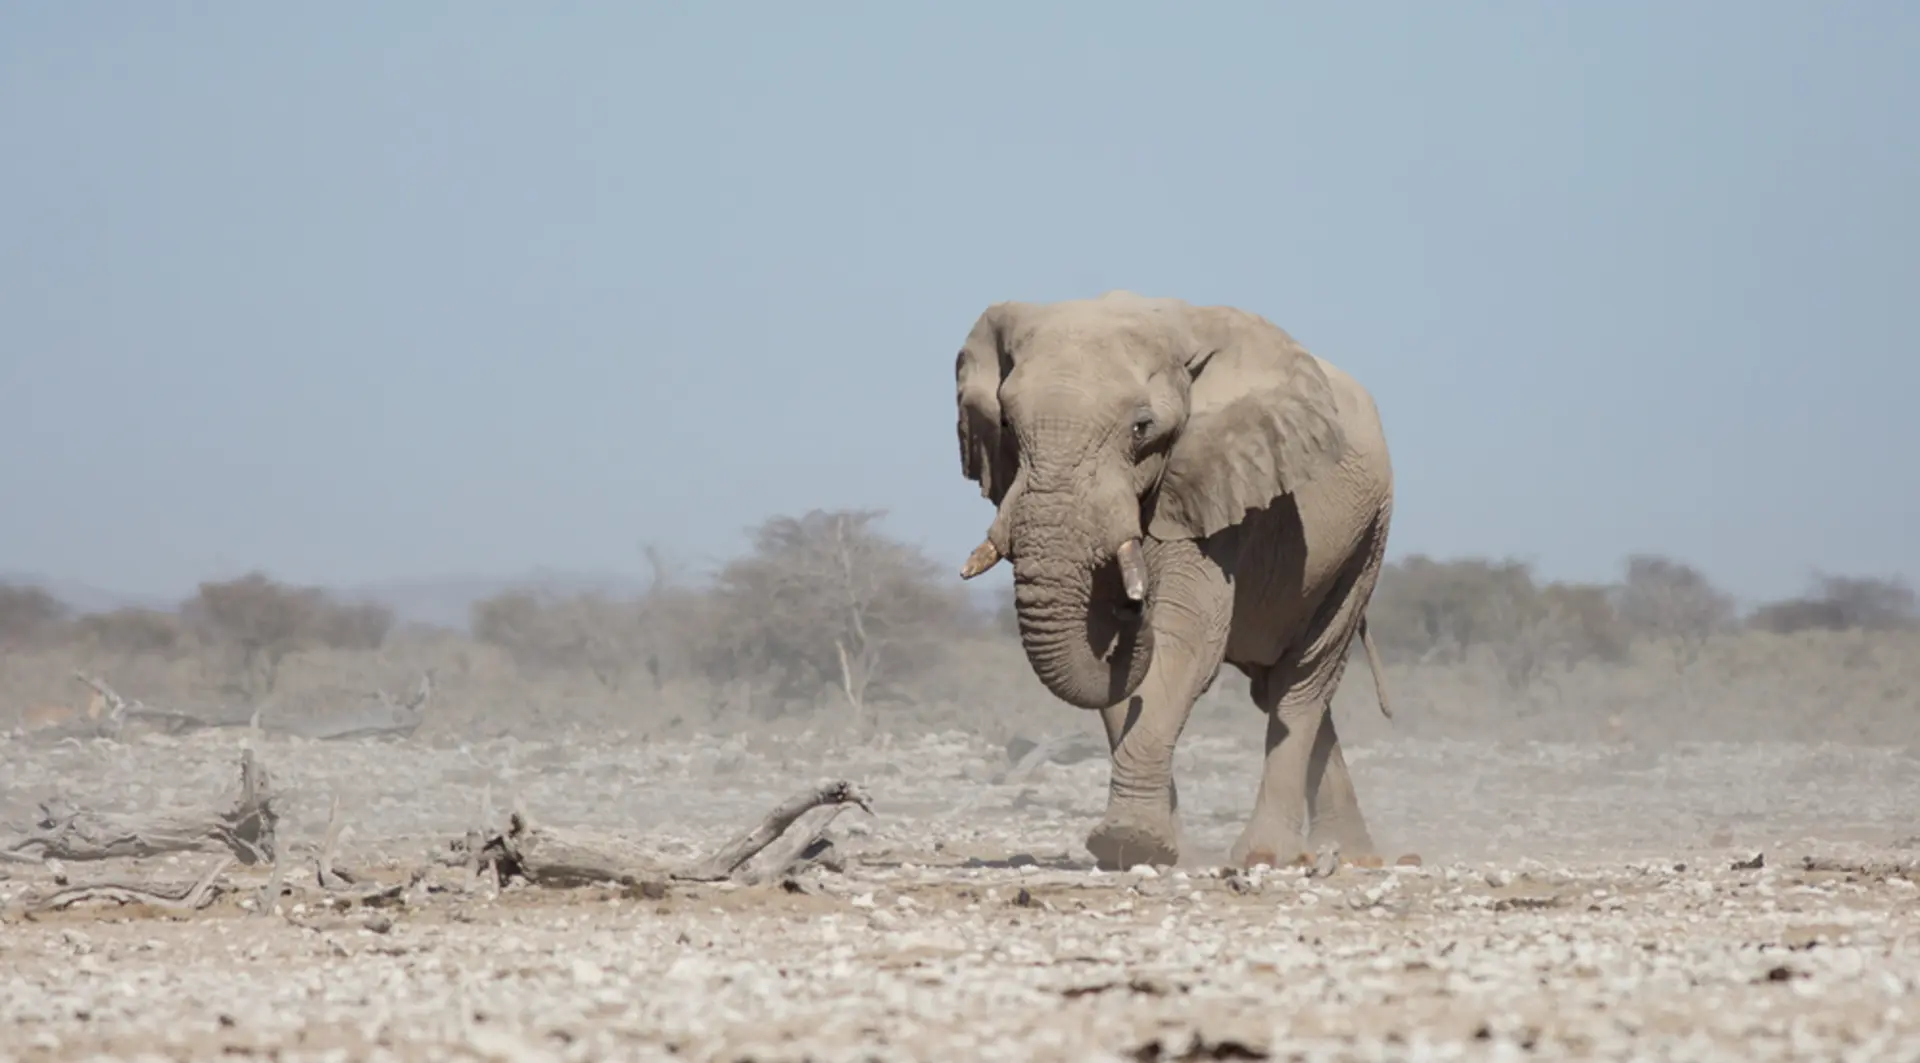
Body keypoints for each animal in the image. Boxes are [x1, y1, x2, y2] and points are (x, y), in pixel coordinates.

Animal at [951, 290, 1395, 871]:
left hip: (1365, 539)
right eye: (1005, 423)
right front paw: (1154, 849)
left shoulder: (1214, 487)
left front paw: (1132, 841)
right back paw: (1348, 854)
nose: (1133, 605)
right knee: (1282, 689)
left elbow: (1184, 643)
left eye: (1142, 427)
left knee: (1302, 682)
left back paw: (1270, 855)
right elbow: (1111, 668)